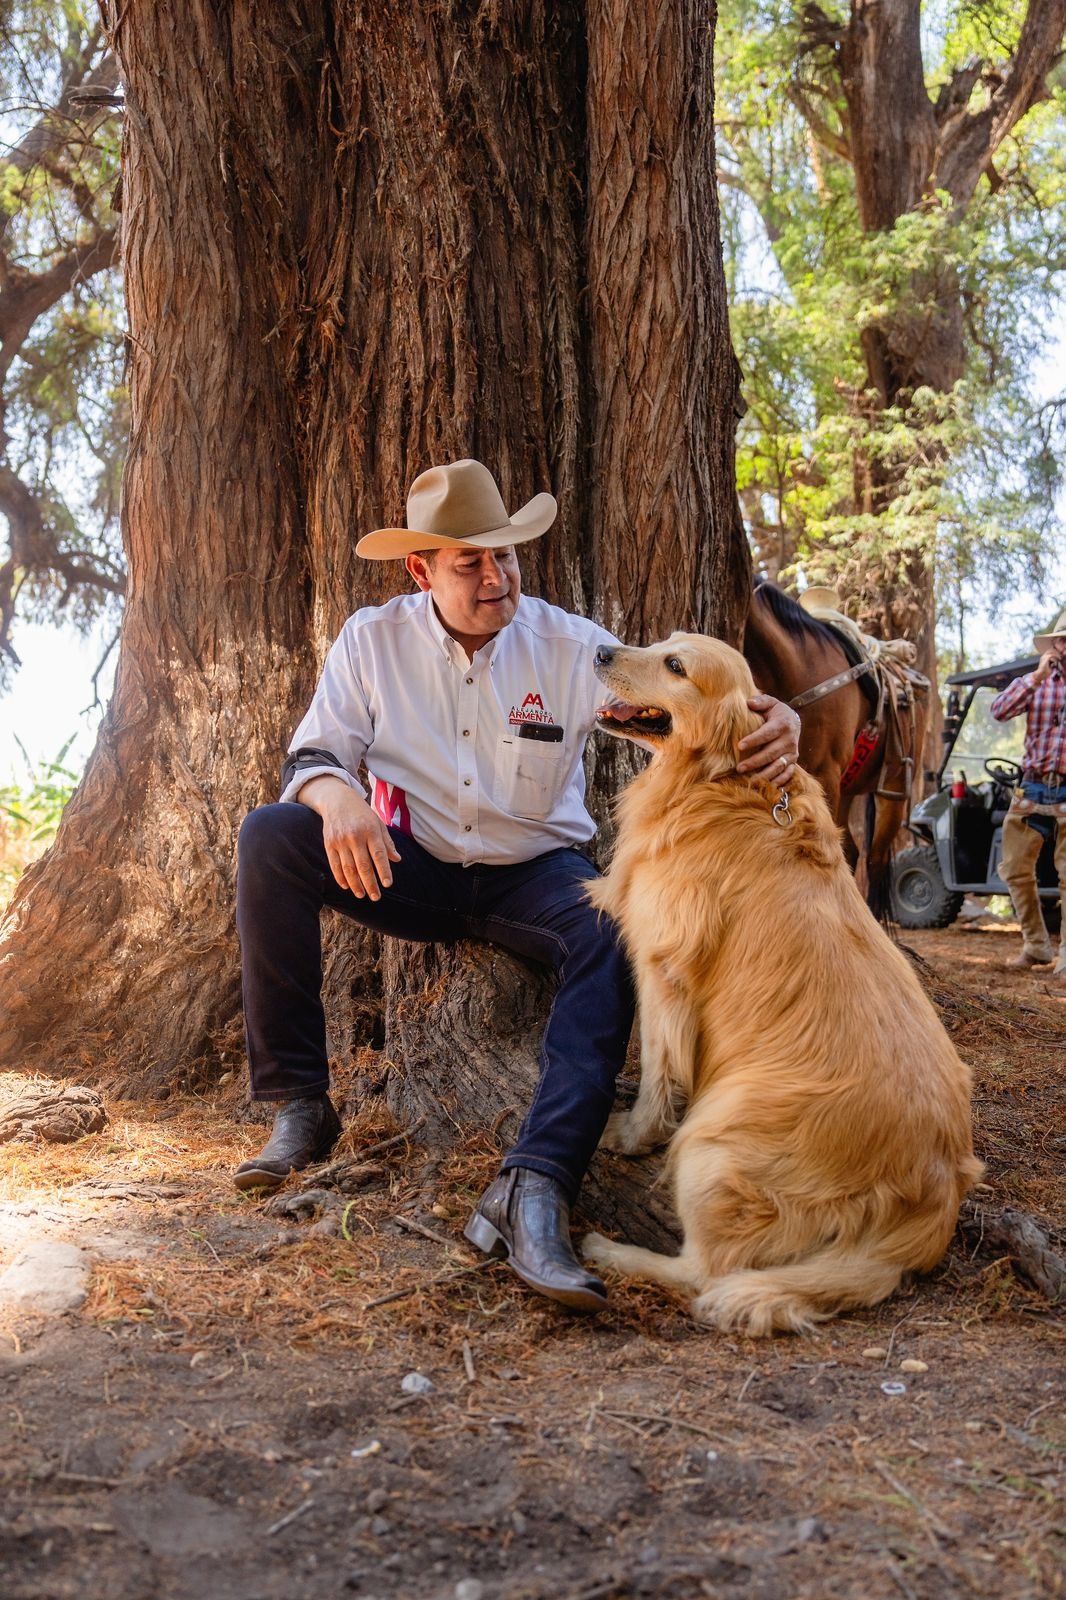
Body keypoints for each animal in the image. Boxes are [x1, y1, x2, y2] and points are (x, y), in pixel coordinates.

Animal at [582, 630, 979, 1331]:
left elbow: (659, 1074)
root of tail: (937, 1193)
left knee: (707, 1271)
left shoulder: (664, 971)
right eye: (663, 643)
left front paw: (628, 1135)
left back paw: (609, 1251)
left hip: (713, 1145)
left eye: (675, 665)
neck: (717, 782)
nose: (601, 650)